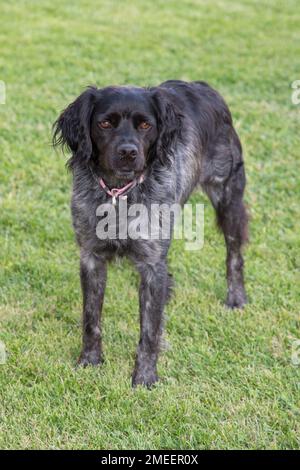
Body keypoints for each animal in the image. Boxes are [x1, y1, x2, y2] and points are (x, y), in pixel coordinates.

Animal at [53, 81, 248, 388]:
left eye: (145, 125)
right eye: (105, 123)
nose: (128, 152)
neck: (119, 194)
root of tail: (204, 87)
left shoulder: (152, 261)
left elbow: (149, 329)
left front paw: (144, 378)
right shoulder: (91, 257)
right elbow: (91, 319)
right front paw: (89, 361)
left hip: (228, 198)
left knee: (234, 253)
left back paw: (236, 298)